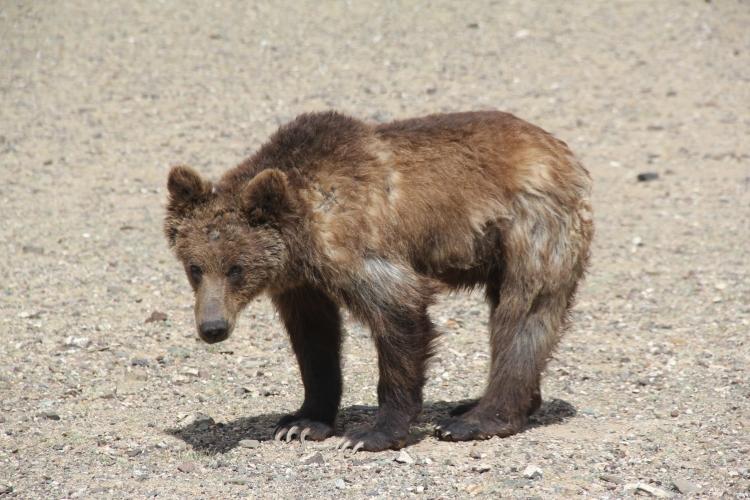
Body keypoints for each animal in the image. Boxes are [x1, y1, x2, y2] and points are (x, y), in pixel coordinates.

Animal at [164, 110, 592, 454]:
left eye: (236, 268)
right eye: (195, 267)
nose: (213, 327)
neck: (304, 235)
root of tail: (563, 152)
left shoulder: (357, 248)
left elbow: (398, 312)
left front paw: (372, 434)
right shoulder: (302, 284)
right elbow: (314, 343)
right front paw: (301, 422)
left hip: (531, 226)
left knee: (522, 315)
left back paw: (475, 419)